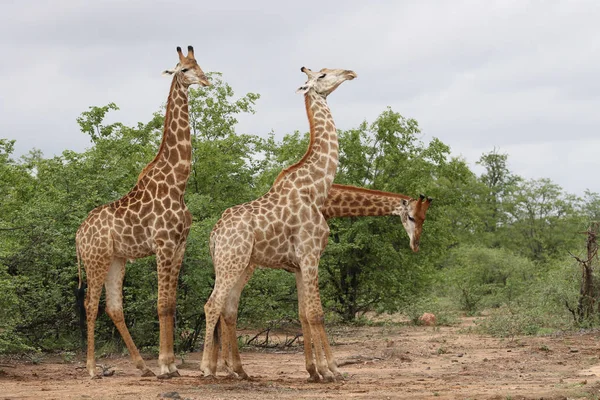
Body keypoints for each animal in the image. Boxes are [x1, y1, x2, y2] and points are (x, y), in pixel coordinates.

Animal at [76, 46, 210, 378]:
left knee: (113, 306)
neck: (178, 182)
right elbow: (161, 305)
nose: (205, 80)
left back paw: (141, 366)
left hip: (116, 259)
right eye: (183, 70)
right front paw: (164, 364)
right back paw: (92, 368)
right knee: (90, 304)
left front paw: (171, 364)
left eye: (200, 65)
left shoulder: (180, 245)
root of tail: (78, 234)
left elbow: (171, 304)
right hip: (96, 259)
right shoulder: (162, 244)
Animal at [204, 66, 358, 382]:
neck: (317, 188)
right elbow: (317, 312)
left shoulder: (299, 264)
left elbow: (302, 313)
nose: (350, 72)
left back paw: (238, 371)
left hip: (240, 264)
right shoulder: (311, 255)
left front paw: (313, 371)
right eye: (323, 75)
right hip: (231, 262)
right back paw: (207, 369)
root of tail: (214, 234)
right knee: (212, 304)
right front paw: (332, 370)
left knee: (228, 308)